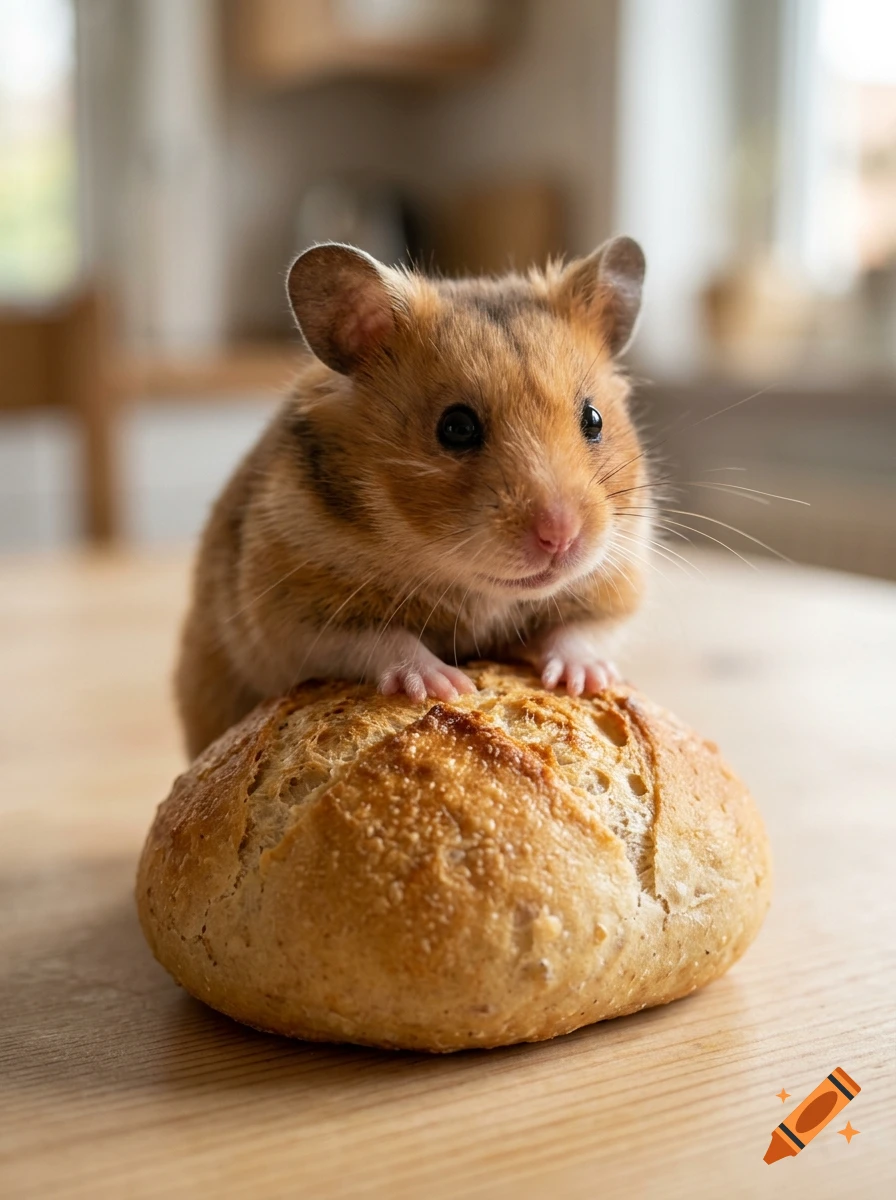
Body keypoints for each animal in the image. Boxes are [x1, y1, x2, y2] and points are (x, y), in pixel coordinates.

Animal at [176, 238, 652, 758]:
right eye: (456, 427)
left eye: (594, 419)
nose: (560, 537)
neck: (479, 592)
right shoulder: (289, 610)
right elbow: (381, 640)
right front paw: (445, 686)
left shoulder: (620, 581)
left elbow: (582, 633)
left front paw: (583, 681)